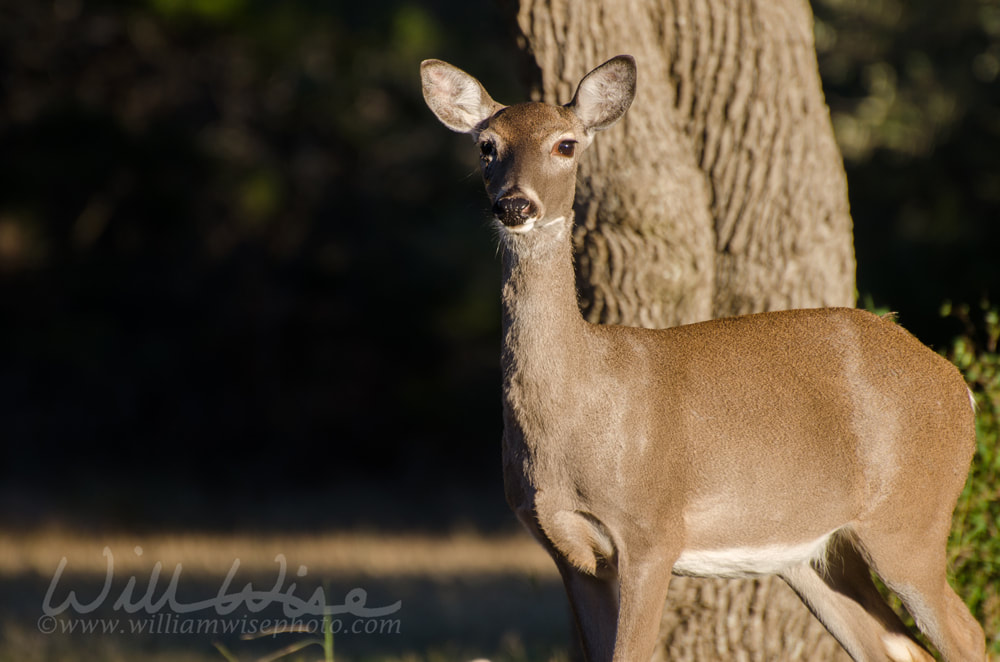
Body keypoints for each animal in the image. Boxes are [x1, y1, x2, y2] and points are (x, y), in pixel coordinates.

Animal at [420, 55, 984, 662]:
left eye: (565, 144)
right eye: (487, 146)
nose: (514, 205)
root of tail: (959, 385)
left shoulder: (650, 532)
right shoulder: (567, 554)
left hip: (911, 519)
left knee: (965, 631)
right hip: (812, 554)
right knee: (896, 645)